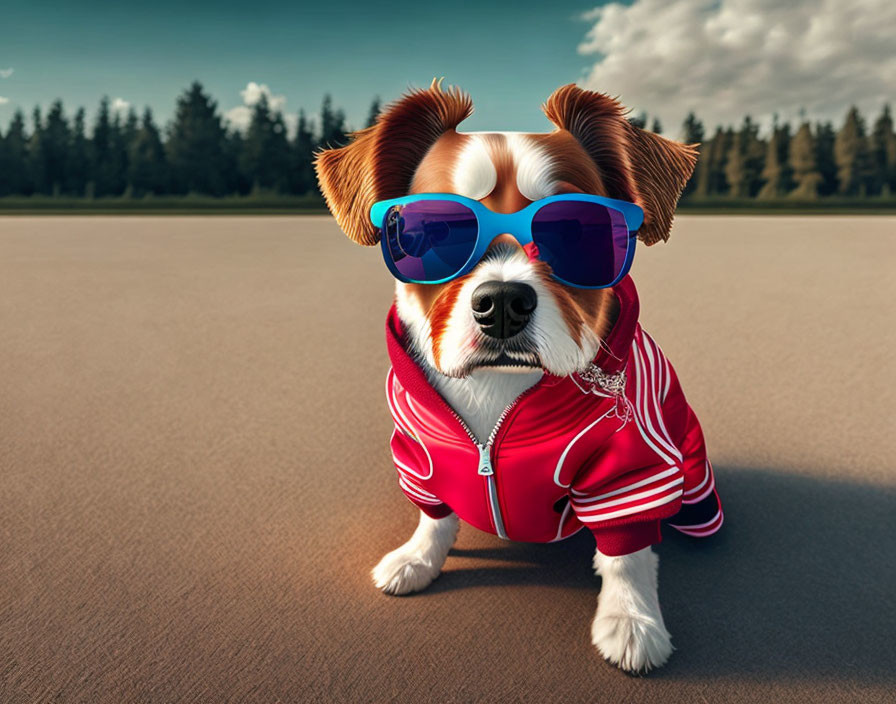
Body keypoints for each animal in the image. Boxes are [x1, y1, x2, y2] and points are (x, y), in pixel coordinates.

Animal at [314, 80, 720, 672]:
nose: (503, 302)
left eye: (575, 230)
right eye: (433, 227)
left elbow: (626, 556)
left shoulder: (629, 474)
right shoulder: (418, 456)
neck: (498, 387)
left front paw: (630, 620)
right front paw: (418, 558)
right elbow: (434, 517)